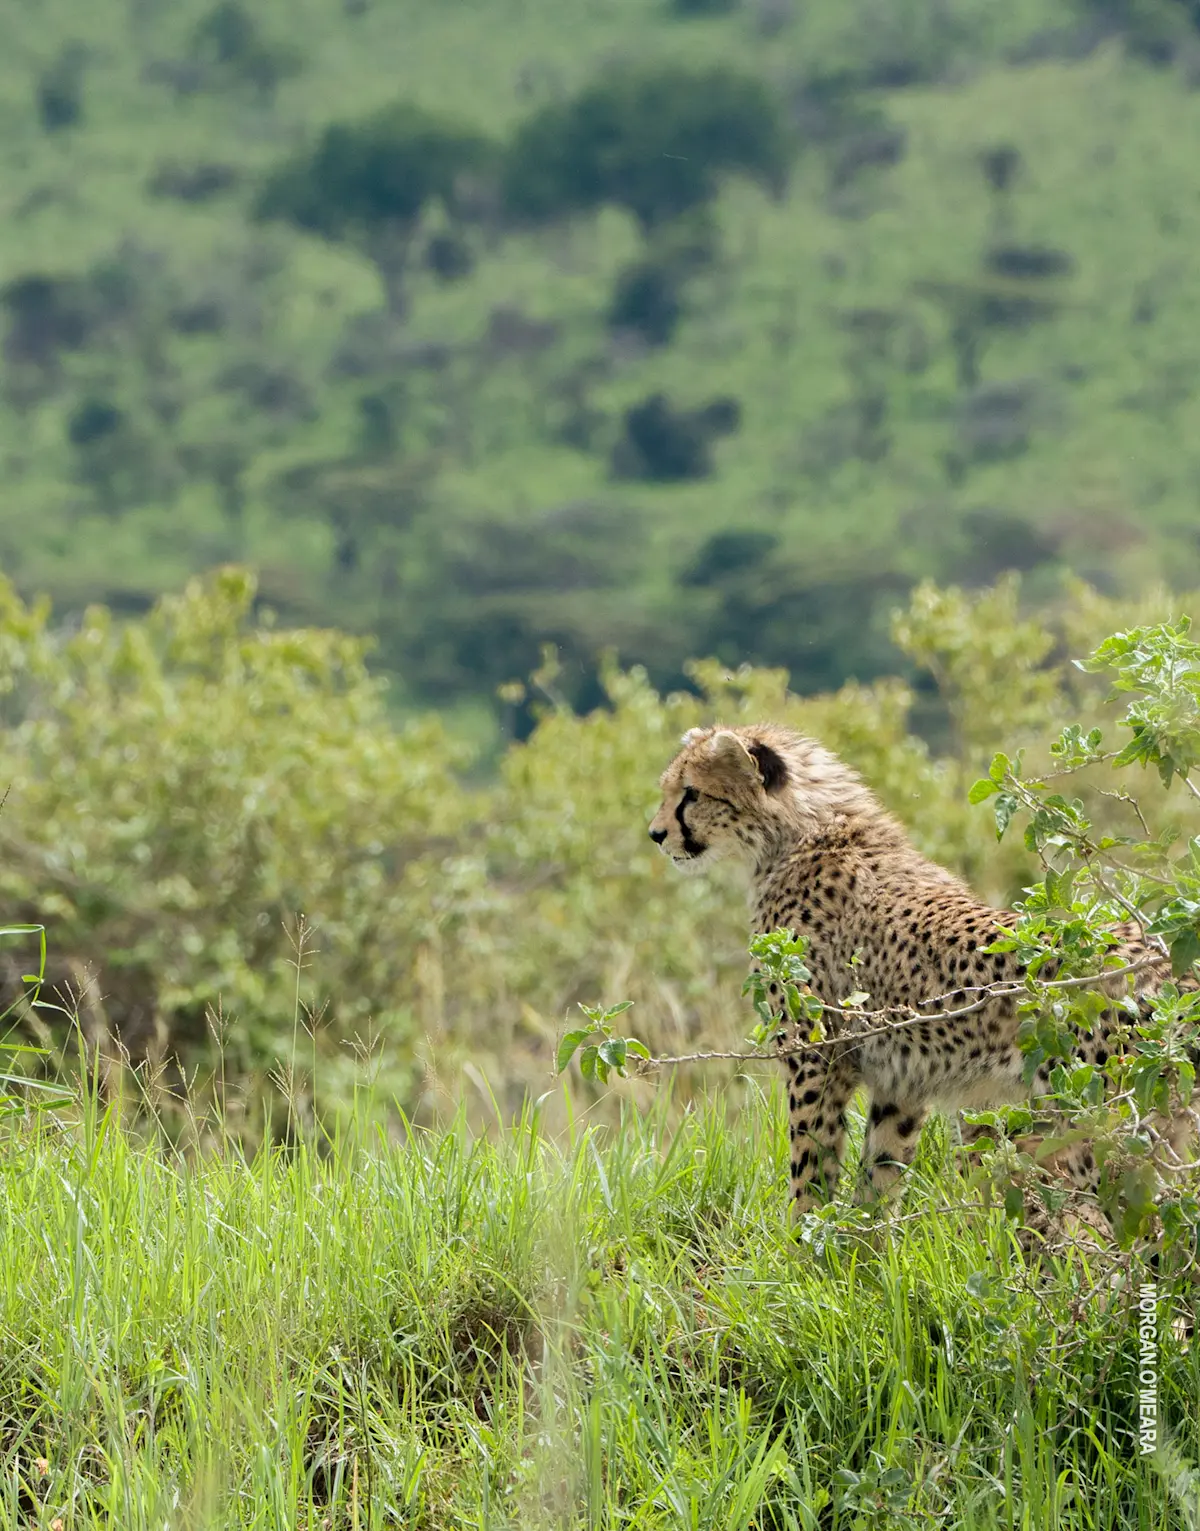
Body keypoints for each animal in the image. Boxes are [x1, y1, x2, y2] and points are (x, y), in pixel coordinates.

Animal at [648, 722, 1196, 1230]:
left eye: (691, 793)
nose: (656, 834)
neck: (802, 830)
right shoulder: (902, 1083)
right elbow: (878, 1178)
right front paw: (858, 1261)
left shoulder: (816, 1059)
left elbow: (811, 1171)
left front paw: (802, 1252)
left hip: (1104, 1127)